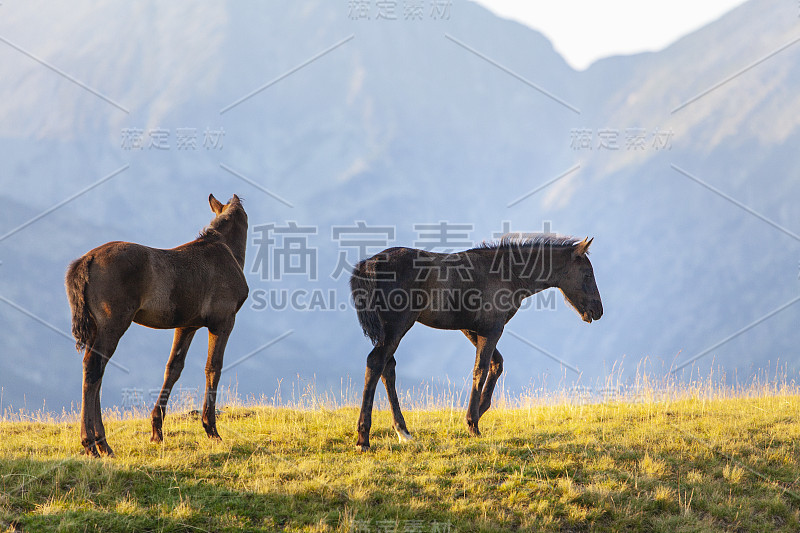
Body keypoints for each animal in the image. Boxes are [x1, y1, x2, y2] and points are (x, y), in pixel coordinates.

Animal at [65, 193, 247, 456]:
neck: (225, 251)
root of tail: (87, 259)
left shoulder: (186, 326)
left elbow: (173, 368)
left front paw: (156, 432)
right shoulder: (222, 322)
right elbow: (213, 368)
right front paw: (212, 430)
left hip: (96, 328)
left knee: (95, 372)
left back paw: (100, 444)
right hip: (113, 325)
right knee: (93, 368)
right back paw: (94, 444)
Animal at [348, 232, 600, 448]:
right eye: (588, 274)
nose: (598, 311)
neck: (508, 273)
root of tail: (371, 263)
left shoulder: (471, 329)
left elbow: (496, 365)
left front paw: (480, 410)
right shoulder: (492, 329)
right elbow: (481, 369)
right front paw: (473, 423)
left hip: (389, 331)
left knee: (387, 368)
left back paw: (403, 432)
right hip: (397, 327)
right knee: (376, 363)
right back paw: (363, 439)